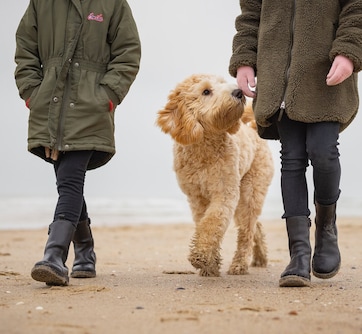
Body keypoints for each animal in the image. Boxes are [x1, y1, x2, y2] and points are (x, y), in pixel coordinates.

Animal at [156, 75, 274, 276]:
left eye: (222, 83)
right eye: (206, 91)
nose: (239, 92)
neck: (204, 147)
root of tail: (252, 129)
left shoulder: (224, 194)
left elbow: (212, 223)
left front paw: (201, 256)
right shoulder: (196, 198)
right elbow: (204, 223)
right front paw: (210, 265)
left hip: (250, 191)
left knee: (247, 231)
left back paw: (239, 264)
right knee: (254, 227)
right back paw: (260, 257)